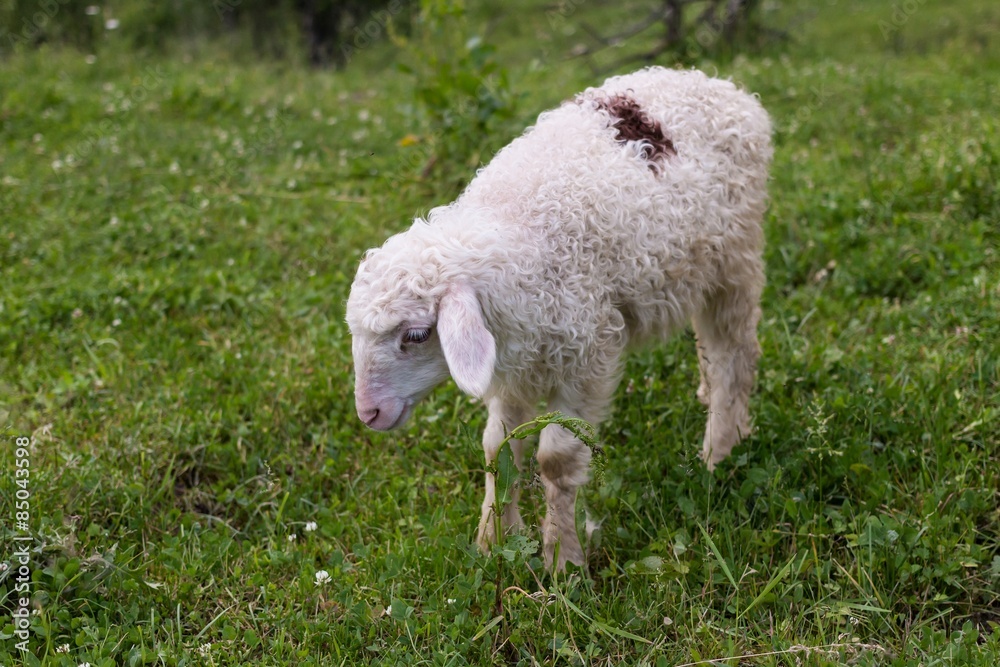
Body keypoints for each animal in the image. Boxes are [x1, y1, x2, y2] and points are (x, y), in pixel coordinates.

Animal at [347, 66, 772, 571]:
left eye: (415, 334)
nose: (369, 413)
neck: (518, 227)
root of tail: (723, 87)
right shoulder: (513, 362)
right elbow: (498, 447)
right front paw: (493, 541)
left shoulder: (587, 355)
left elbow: (556, 459)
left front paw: (562, 560)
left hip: (734, 257)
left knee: (734, 353)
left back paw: (720, 451)